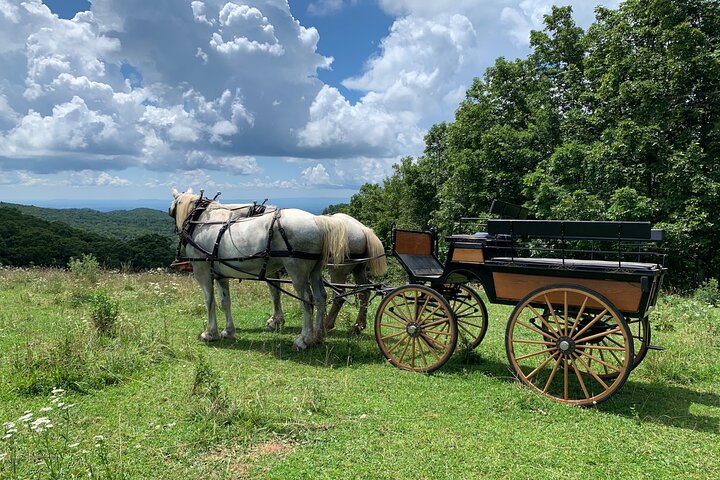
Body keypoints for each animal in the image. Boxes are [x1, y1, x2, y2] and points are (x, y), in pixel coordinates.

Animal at [169, 189, 348, 349]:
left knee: (306, 300)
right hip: (315, 271)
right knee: (320, 297)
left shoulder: (202, 271)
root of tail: (317, 220)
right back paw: (318, 335)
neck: (201, 222)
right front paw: (228, 331)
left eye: (172, 211)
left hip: (297, 272)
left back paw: (304, 339)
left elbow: (209, 300)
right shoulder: (221, 275)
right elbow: (225, 301)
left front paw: (210, 333)